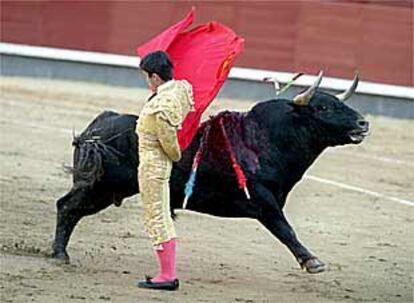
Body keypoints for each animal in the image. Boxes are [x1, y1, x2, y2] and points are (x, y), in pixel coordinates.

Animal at [51, 75, 368, 274]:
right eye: (323, 107)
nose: (363, 123)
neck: (267, 139)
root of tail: (98, 126)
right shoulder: (263, 201)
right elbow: (285, 229)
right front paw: (313, 262)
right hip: (99, 187)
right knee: (66, 206)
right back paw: (59, 254)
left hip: (105, 191)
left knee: (70, 209)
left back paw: (59, 253)